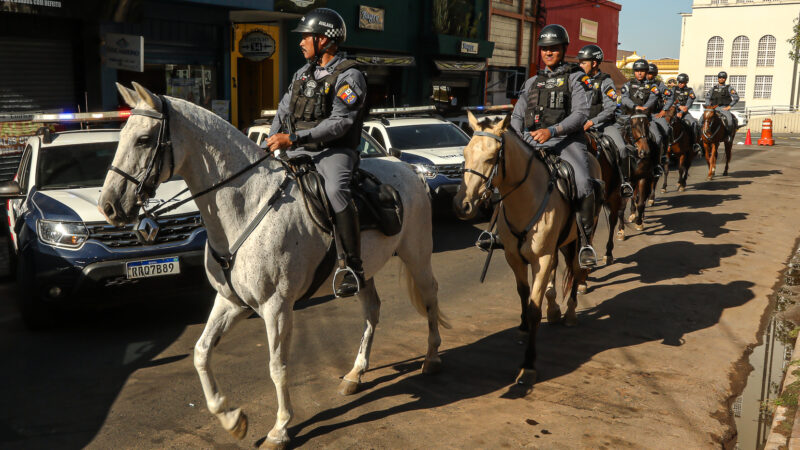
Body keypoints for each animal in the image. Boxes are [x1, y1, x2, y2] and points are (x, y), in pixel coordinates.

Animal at [98, 82, 450, 448]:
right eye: (122, 136)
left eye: (143, 140)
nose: (108, 206)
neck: (247, 206)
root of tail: (408, 171)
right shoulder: (231, 302)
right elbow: (201, 352)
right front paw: (231, 418)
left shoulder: (276, 307)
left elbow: (277, 366)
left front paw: (280, 428)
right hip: (362, 272)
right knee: (372, 311)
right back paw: (356, 373)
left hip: (418, 256)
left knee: (430, 297)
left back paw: (432, 358)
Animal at [454, 110, 604, 388]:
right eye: (466, 154)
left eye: (491, 158)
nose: (462, 205)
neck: (525, 198)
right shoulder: (514, 257)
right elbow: (523, 294)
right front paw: (524, 327)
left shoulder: (541, 258)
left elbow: (535, 308)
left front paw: (528, 365)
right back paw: (554, 310)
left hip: (581, 236)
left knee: (576, 270)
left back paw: (570, 313)